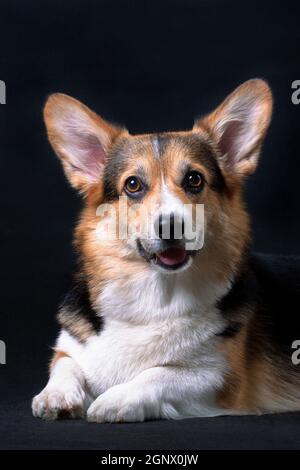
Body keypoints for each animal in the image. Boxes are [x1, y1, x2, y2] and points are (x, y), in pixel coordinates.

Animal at [31, 78, 298, 422]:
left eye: (194, 179)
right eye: (133, 185)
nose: (171, 225)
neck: (154, 296)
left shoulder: (220, 376)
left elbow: (160, 373)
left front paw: (115, 399)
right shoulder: (70, 346)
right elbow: (65, 364)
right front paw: (56, 395)